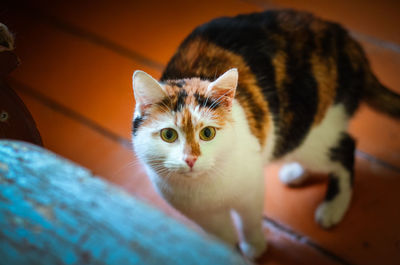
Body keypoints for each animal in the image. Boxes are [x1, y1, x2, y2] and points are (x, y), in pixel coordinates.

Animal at [131, 9, 400, 258]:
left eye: (207, 133)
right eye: (168, 135)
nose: (190, 159)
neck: (205, 189)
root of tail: (345, 38)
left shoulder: (251, 189)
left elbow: (249, 222)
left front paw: (255, 248)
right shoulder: (202, 215)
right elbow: (221, 237)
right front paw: (224, 253)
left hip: (310, 128)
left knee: (346, 148)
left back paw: (333, 207)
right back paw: (296, 173)